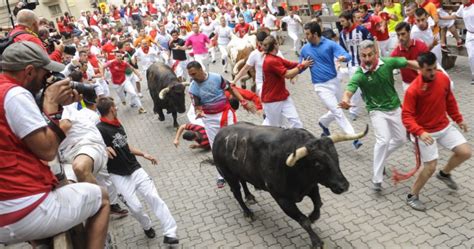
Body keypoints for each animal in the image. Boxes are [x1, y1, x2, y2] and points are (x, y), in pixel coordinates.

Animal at [213, 123, 368, 249]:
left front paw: (313, 217)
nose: (344, 186)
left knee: (244, 182)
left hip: (240, 171)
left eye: (336, 156)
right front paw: (316, 242)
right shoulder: (282, 199)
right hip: (229, 175)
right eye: (318, 163)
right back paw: (248, 213)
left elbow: (318, 204)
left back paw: (250, 196)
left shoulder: (312, 186)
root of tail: (220, 134)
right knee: (237, 194)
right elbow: (303, 220)